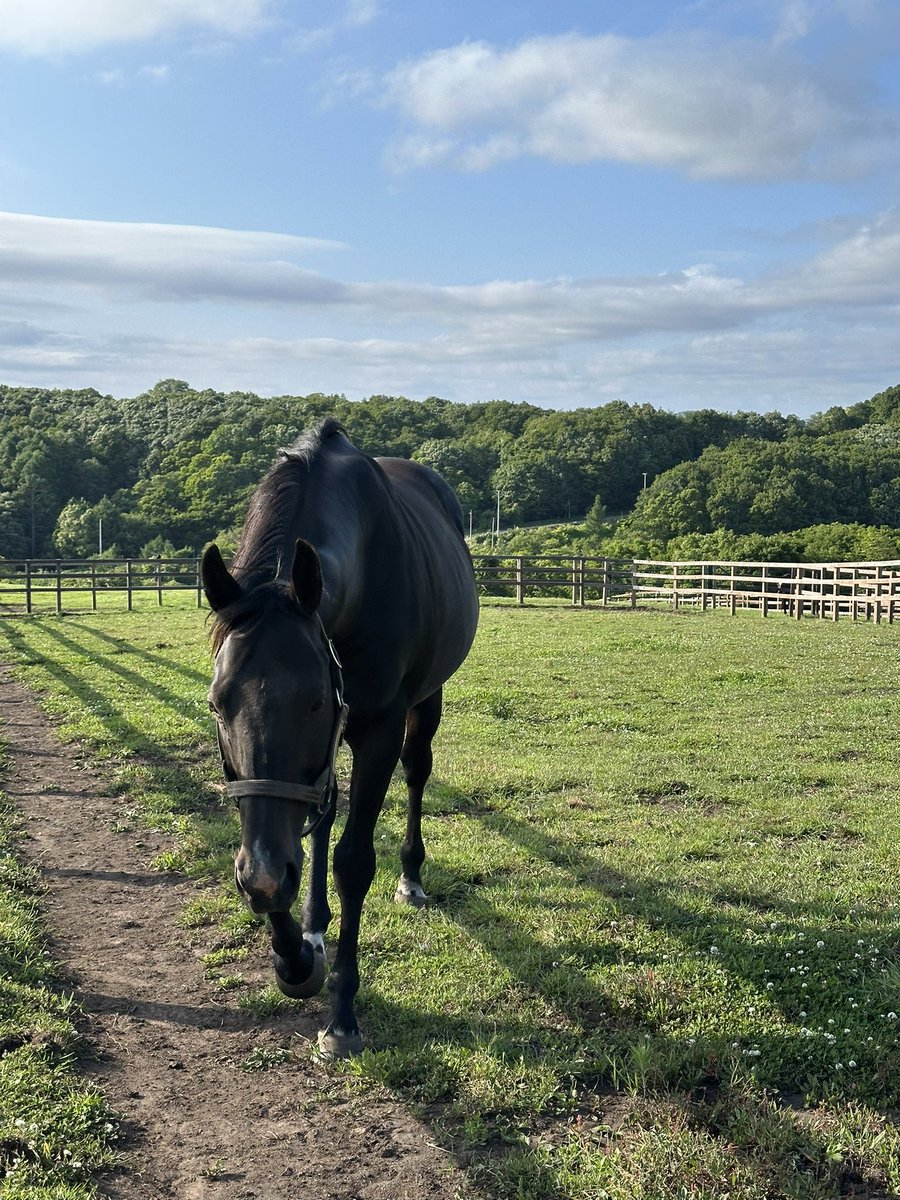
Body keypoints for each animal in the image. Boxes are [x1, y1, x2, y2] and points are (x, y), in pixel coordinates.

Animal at [201, 417, 479, 1057]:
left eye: (314, 701)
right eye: (219, 703)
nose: (263, 873)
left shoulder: (376, 732)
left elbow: (352, 861)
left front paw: (343, 1014)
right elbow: (282, 856)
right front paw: (297, 955)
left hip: (425, 702)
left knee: (416, 769)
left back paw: (410, 877)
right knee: (318, 817)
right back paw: (315, 922)